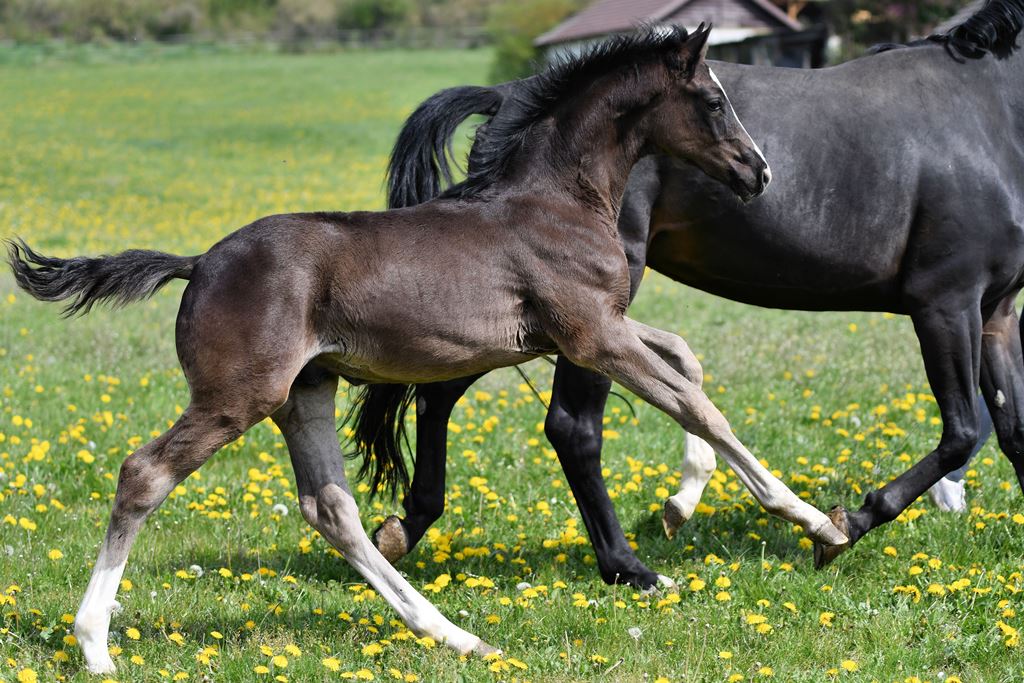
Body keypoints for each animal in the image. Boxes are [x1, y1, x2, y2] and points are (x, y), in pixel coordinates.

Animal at [6, 25, 839, 671]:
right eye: (713, 100)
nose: (759, 172)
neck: (553, 198)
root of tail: (199, 262)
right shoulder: (591, 332)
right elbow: (701, 406)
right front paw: (816, 522)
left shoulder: (587, 329)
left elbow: (688, 364)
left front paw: (682, 502)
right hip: (236, 396)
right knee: (144, 473)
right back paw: (94, 644)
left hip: (306, 392)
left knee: (330, 508)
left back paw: (454, 633)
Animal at [362, 0, 1024, 585]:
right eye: (712, 103)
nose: (761, 171)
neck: (988, 117)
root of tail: (508, 97)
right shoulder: (945, 302)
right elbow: (962, 432)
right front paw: (845, 524)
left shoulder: (996, 313)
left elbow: (1012, 430)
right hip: (591, 314)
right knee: (572, 428)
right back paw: (626, 567)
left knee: (440, 389)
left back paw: (405, 528)